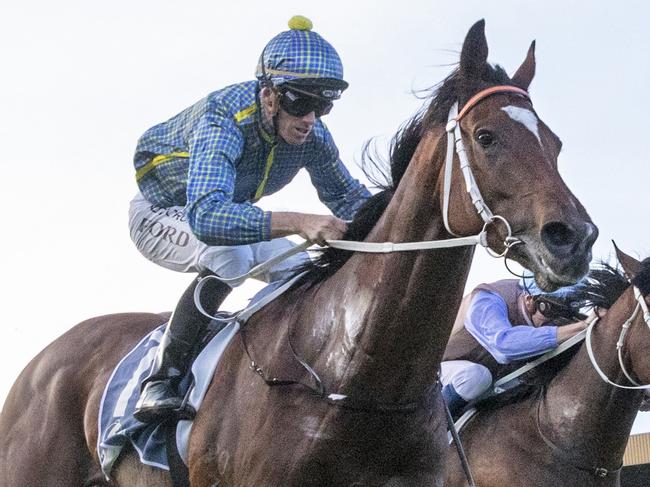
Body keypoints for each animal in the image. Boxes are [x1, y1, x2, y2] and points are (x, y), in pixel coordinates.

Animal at [0, 21, 596, 486]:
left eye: (555, 142)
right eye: (486, 135)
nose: (574, 238)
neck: (354, 375)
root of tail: (41, 358)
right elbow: (211, 210)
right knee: (221, 263)